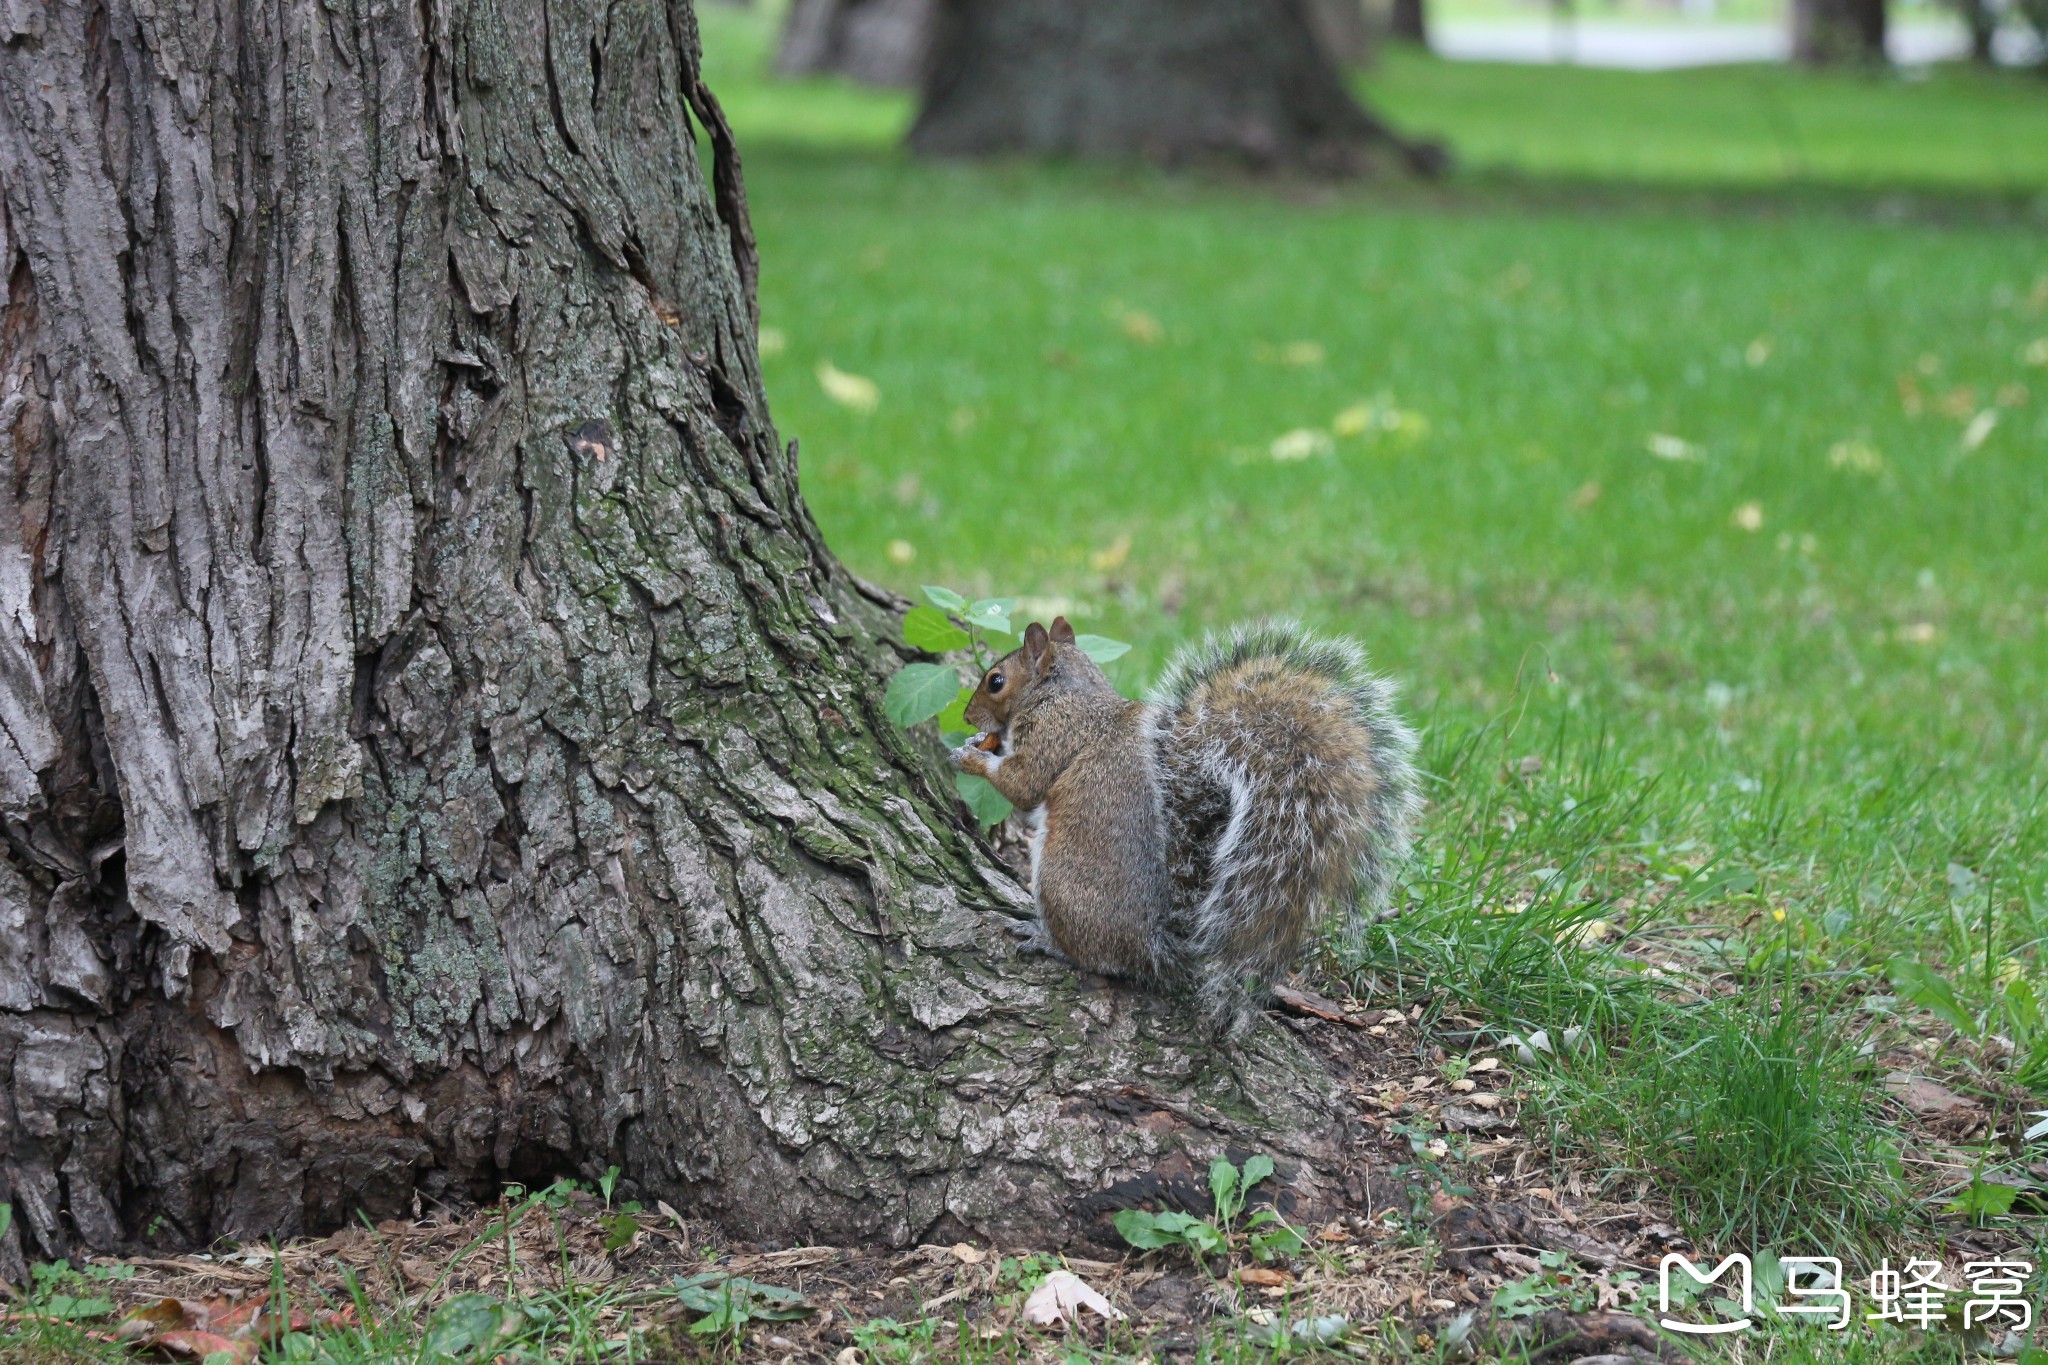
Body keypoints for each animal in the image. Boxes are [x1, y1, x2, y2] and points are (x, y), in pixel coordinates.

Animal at [946, 613, 1417, 1031]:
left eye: (995, 680)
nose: (968, 717)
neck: (1067, 690)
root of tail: (1155, 948)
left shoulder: (1054, 732)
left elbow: (1024, 783)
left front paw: (969, 757)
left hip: (1061, 887)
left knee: (1096, 957)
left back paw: (1048, 940)